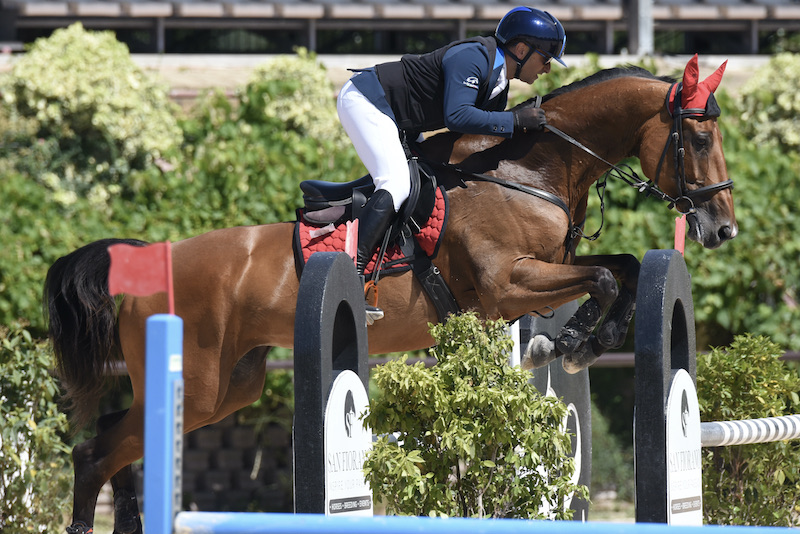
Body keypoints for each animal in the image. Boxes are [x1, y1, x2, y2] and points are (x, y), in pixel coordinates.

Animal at [42, 55, 732, 534]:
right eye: (698, 141)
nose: (720, 228)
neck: (527, 172)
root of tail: (144, 268)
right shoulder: (509, 284)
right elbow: (608, 278)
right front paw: (574, 341)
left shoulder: (544, 269)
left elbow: (621, 269)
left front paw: (579, 339)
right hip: (204, 380)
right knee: (96, 449)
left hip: (231, 386)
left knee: (113, 443)